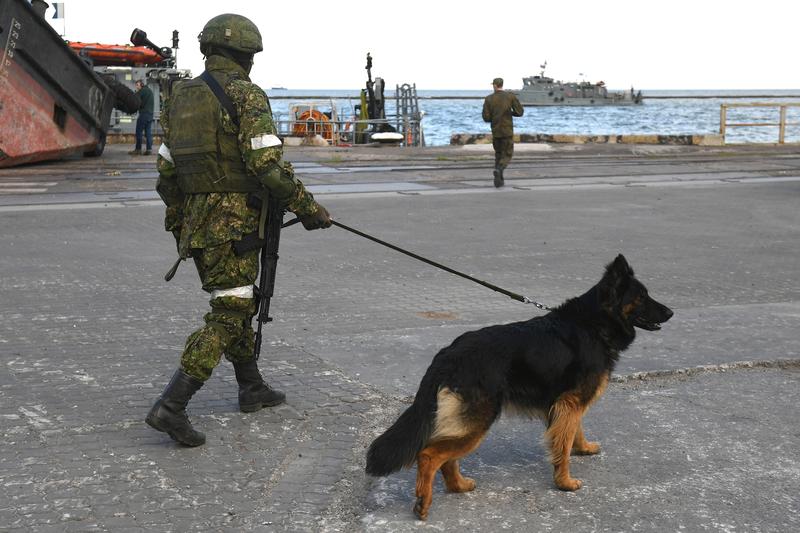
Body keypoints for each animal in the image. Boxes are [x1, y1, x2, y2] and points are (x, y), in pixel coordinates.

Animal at [366, 255, 672, 520]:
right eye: (641, 297)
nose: (671, 312)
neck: (595, 322)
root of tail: (447, 354)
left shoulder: (567, 404)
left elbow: (574, 430)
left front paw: (583, 448)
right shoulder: (571, 401)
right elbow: (563, 443)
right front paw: (565, 482)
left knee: (446, 456)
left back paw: (458, 486)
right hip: (479, 421)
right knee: (430, 455)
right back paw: (423, 502)